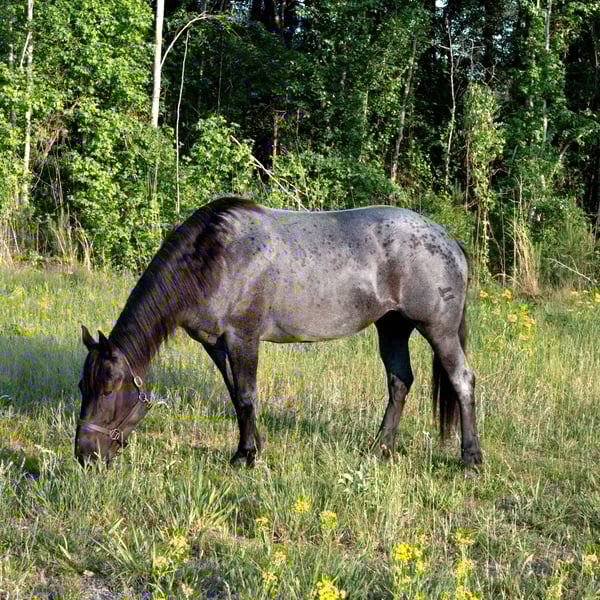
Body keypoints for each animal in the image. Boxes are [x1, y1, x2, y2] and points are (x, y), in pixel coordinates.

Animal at [75, 197, 481, 468]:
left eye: (109, 388)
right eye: (83, 386)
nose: (85, 454)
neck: (212, 257)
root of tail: (449, 239)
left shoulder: (243, 339)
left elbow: (245, 396)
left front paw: (245, 457)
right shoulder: (216, 345)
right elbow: (236, 395)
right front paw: (253, 446)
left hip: (438, 330)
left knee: (462, 381)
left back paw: (471, 458)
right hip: (392, 327)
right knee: (399, 382)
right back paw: (380, 448)